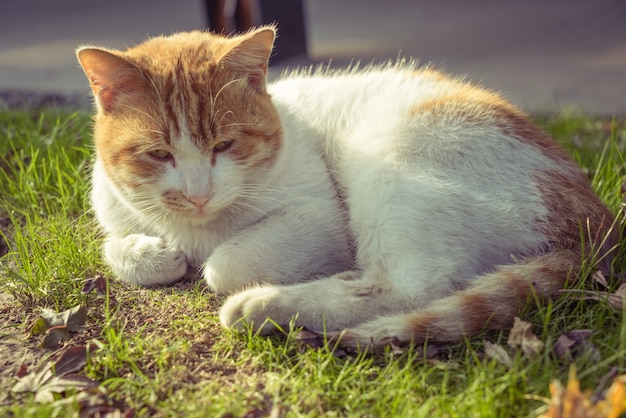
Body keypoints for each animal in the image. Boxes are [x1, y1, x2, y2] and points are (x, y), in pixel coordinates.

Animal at [77, 25, 616, 346]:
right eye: (158, 154)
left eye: (225, 145)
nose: (197, 194)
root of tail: (599, 227)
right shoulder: (113, 209)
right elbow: (113, 246)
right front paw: (153, 255)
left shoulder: (323, 220)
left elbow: (225, 265)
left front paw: (210, 265)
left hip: (391, 168)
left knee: (412, 287)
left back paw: (266, 305)